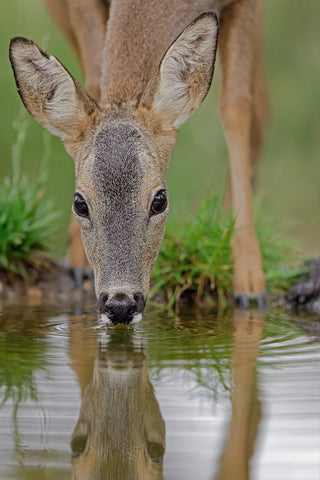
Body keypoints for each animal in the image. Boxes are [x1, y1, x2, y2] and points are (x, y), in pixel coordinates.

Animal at [8, 0, 266, 324]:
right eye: (79, 203)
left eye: (160, 200)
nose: (120, 304)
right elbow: (95, 78)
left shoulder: (247, 5)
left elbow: (237, 106)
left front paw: (250, 283)